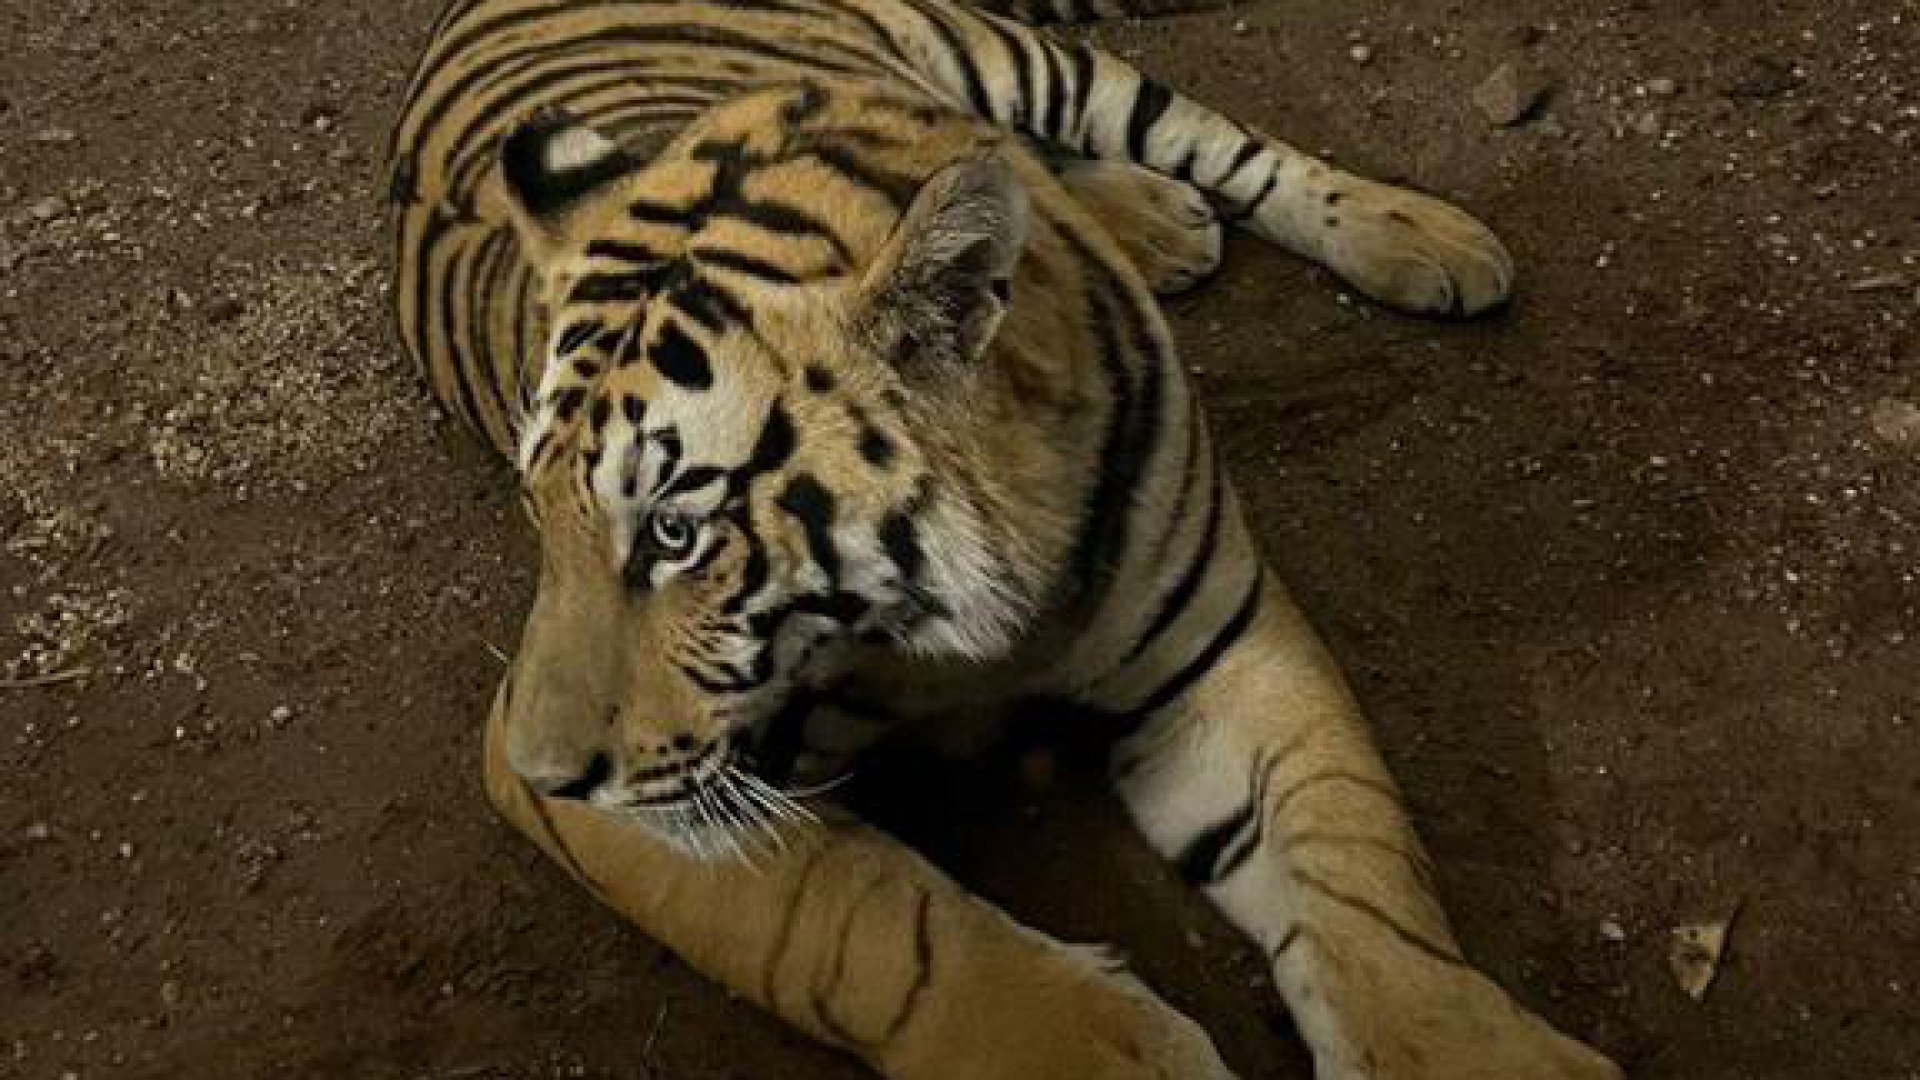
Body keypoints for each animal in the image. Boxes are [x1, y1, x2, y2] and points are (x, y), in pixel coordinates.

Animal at [387, 0, 1623, 1076]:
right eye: (538, 517)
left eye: (678, 531)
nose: (548, 776)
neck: (954, 625)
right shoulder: (659, 796)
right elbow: (871, 925)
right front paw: (1104, 1053)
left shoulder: (1222, 643)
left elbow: (1351, 855)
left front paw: (1465, 1050)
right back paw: (1159, 222)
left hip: (1020, 56)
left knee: (1212, 143)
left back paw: (1413, 234)